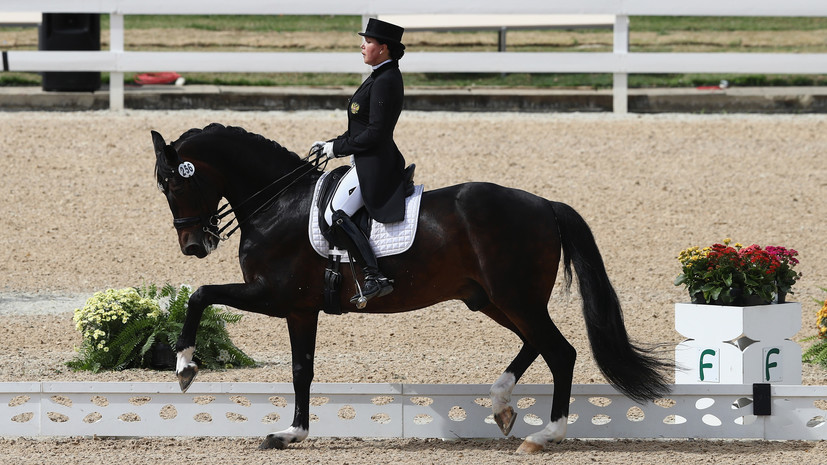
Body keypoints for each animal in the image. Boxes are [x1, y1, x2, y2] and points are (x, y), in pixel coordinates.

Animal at [152, 121, 668, 452]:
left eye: (174, 187)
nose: (194, 246)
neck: (278, 203)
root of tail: (544, 204)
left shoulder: (274, 296)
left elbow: (200, 294)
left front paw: (184, 367)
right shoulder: (299, 309)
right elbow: (302, 369)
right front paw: (291, 434)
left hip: (514, 297)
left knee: (560, 351)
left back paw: (545, 436)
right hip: (493, 300)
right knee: (536, 344)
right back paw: (502, 405)